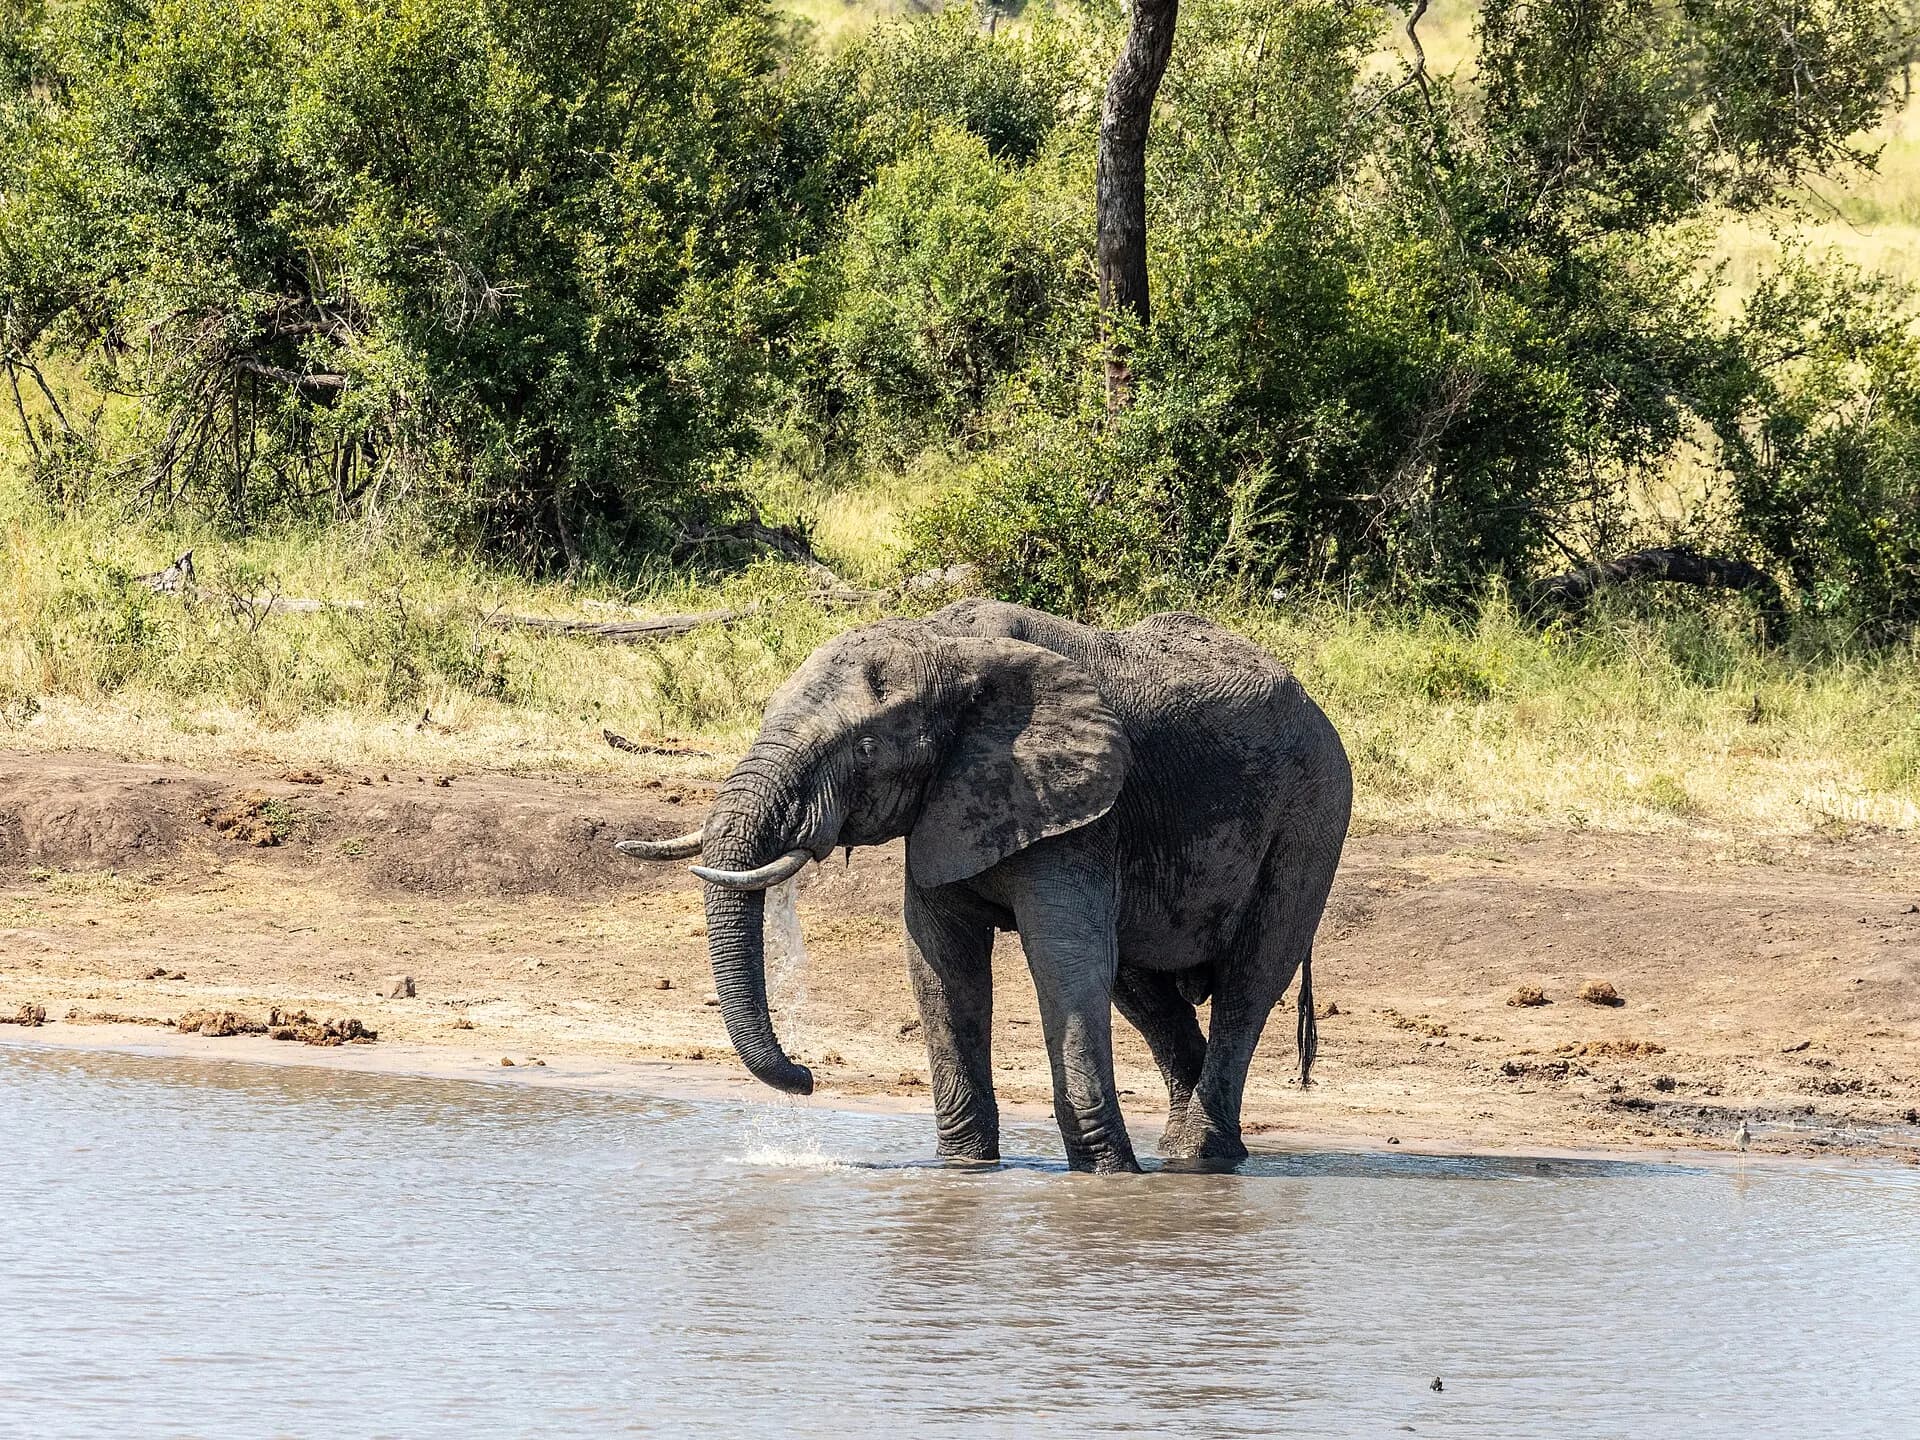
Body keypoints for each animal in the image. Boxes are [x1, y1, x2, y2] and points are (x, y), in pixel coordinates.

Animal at [619, 599, 1351, 1173]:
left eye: (864, 750)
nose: (806, 1079)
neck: (947, 647)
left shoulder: (1082, 816)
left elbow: (1064, 961)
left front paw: (1106, 1176)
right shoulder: (947, 807)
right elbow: (941, 967)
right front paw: (966, 1169)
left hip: (1313, 815)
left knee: (1250, 981)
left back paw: (1199, 1156)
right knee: (1141, 989)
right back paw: (1185, 1154)